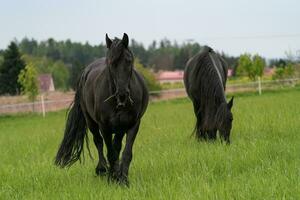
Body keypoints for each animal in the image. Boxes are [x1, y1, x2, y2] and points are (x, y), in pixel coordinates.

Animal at [54, 33, 149, 185]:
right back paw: (102, 169)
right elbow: (109, 152)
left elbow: (126, 152)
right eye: (111, 62)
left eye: (129, 61)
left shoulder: (133, 124)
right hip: (91, 122)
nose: (122, 94)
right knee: (98, 141)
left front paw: (123, 178)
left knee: (116, 146)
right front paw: (113, 177)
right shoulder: (105, 127)